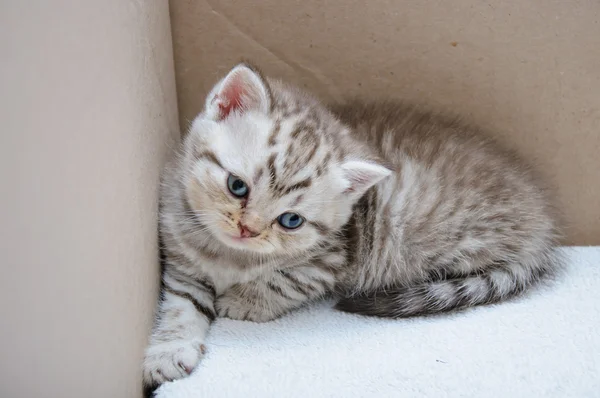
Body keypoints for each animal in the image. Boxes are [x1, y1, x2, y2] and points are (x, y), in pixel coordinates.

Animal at [143, 63, 560, 388]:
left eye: (291, 220)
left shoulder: (330, 259)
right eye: (236, 186)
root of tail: (542, 224)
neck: (229, 255)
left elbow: (285, 281)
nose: (249, 230)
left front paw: (245, 300)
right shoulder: (180, 258)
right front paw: (168, 350)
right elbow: (181, 305)